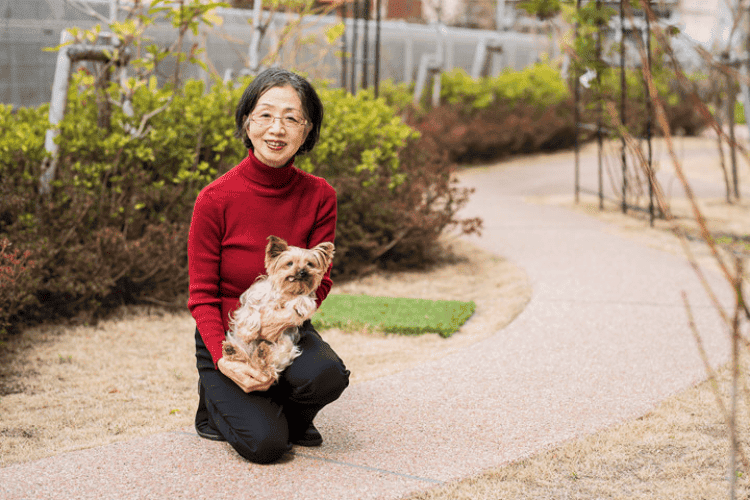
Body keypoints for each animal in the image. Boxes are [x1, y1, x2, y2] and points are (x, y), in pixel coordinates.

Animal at [219, 236, 334, 380]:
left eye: (310, 264)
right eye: (289, 263)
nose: (303, 272)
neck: (284, 292)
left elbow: (304, 299)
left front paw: (300, 305)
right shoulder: (251, 301)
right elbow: (251, 312)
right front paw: (248, 332)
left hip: (285, 346)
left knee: (267, 365)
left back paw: (262, 355)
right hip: (242, 343)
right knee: (246, 358)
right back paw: (233, 351)